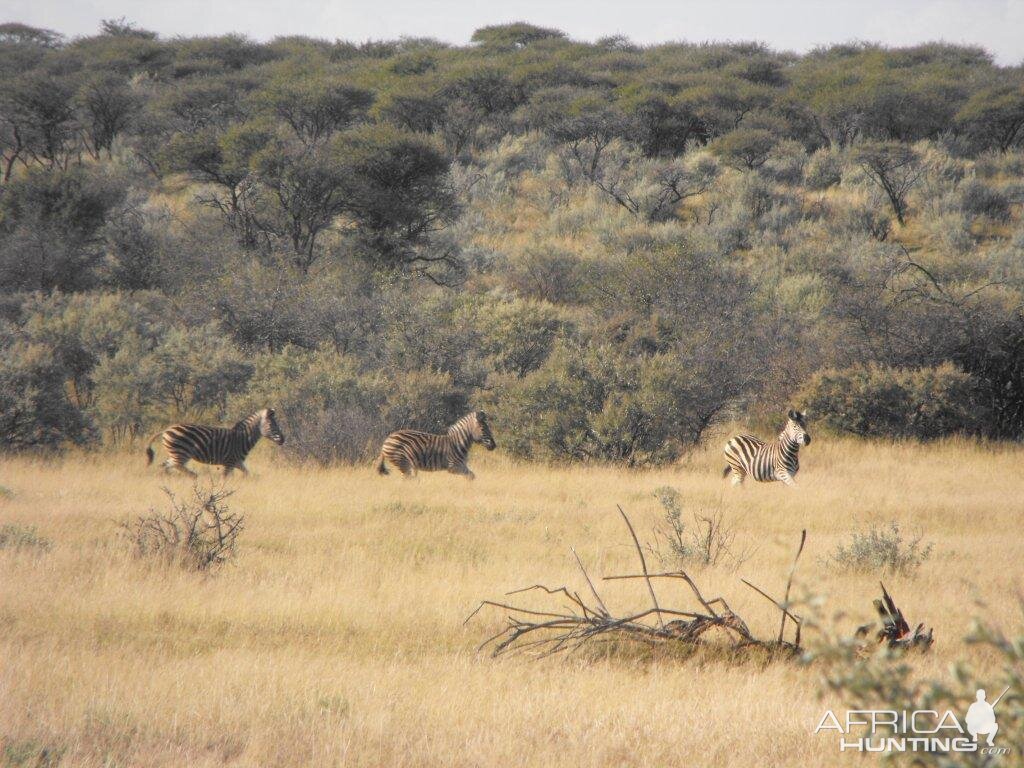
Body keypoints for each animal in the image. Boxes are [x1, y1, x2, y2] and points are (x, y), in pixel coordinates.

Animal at [144, 409, 284, 475]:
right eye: (271, 425)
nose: (283, 439)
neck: (242, 438)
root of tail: (166, 429)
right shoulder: (229, 462)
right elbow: (225, 479)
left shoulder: (237, 462)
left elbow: (247, 474)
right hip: (181, 453)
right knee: (176, 466)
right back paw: (193, 475)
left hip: (175, 453)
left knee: (164, 467)